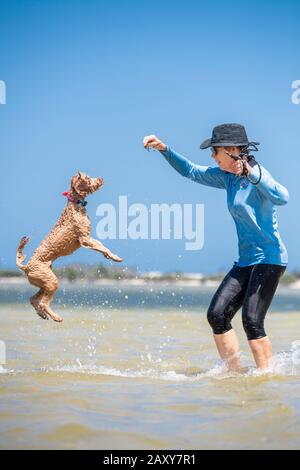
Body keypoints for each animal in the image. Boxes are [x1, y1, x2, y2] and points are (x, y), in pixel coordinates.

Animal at [15, 173, 122, 324]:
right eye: (87, 178)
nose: (101, 179)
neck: (75, 203)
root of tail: (26, 267)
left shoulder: (88, 237)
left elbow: (102, 246)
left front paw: (113, 256)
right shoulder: (85, 239)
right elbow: (101, 247)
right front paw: (111, 256)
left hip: (44, 283)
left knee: (33, 299)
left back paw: (42, 314)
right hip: (51, 281)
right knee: (43, 303)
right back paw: (55, 317)